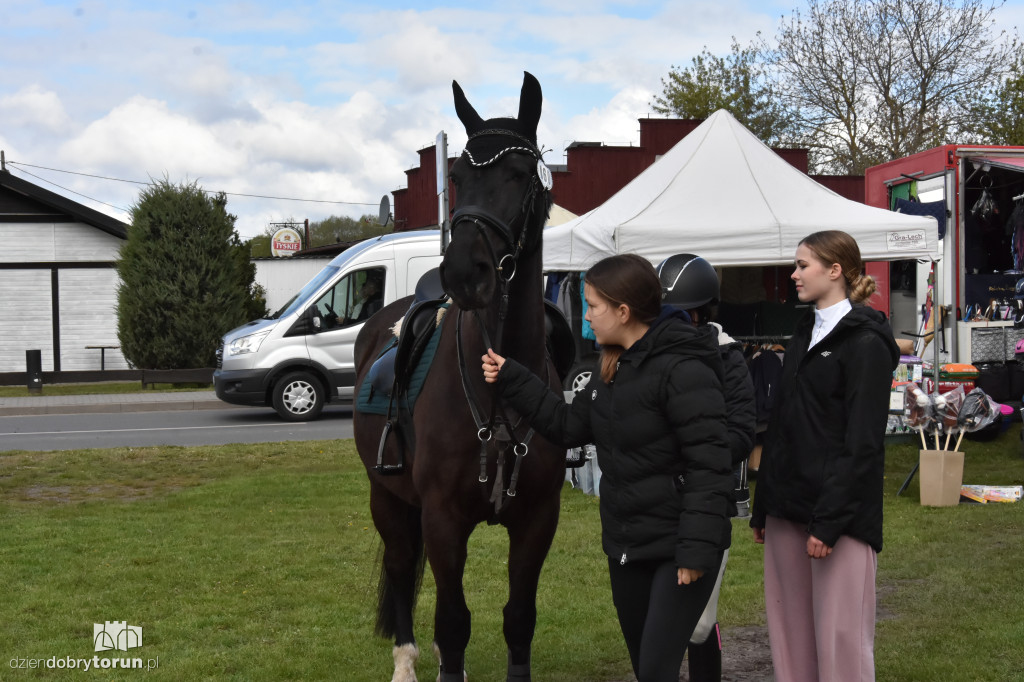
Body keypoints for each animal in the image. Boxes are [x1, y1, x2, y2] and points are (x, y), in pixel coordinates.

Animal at [350, 71, 561, 675]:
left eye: (520, 175)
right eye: (459, 177)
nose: (465, 270)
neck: (498, 390)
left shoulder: (538, 521)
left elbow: (518, 619)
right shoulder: (442, 521)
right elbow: (453, 619)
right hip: (388, 501)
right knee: (401, 570)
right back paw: (405, 661)